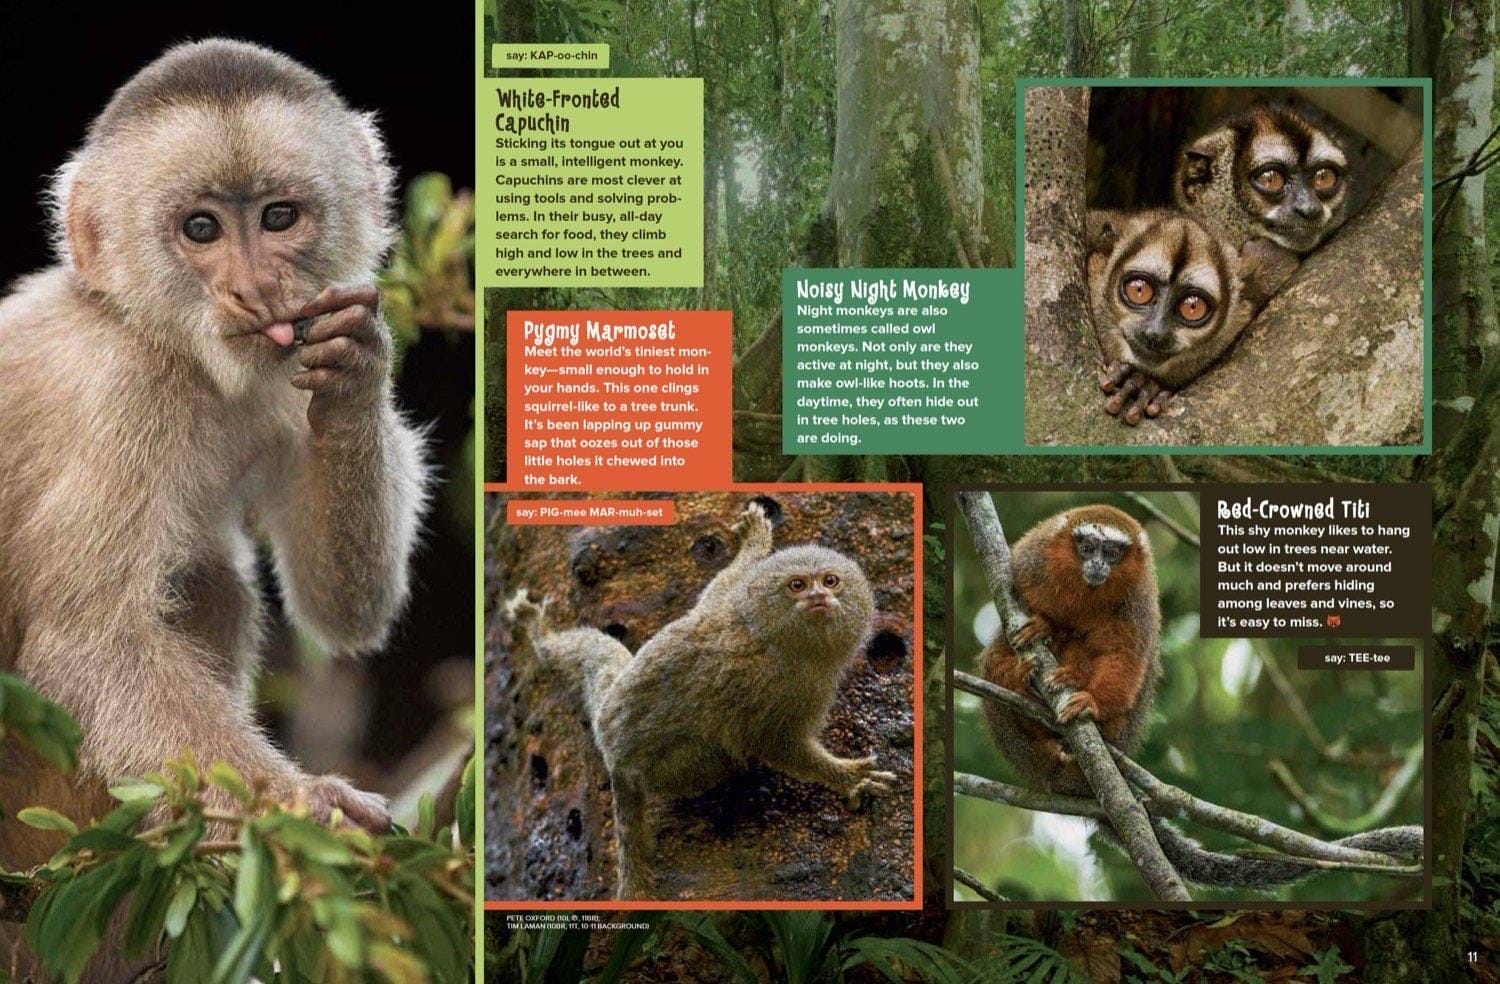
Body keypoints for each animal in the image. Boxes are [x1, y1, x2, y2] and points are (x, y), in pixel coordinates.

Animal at [0, 39, 430, 974]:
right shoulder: (125, 390)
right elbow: (90, 641)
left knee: (209, 584)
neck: (164, 341)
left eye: (279, 218)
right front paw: (303, 811)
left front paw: (355, 375)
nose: (257, 288)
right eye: (201, 230)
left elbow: (344, 610)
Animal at [506, 501, 898, 900]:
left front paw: (754, 540)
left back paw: (539, 635)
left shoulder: (724, 604)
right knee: (723, 756)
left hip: (608, 695)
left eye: (830, 581)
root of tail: (615, 759)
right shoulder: (783, 688)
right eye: (797, 585)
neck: (767, 635)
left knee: (597, 654)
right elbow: (773, 743)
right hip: (678, 767)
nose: (818, 598)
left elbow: (720, 584)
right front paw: (847, 777)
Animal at [977, 506, 1423, 891]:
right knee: (1001, 658)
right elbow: (1008, 629)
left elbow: (1127, 655)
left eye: (1112, 553)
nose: (1098, 565)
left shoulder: (1137, 596)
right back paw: (1025, 678)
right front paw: (1037, 632)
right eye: (1087, 547)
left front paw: (1091, 702)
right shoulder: (1027, 563)